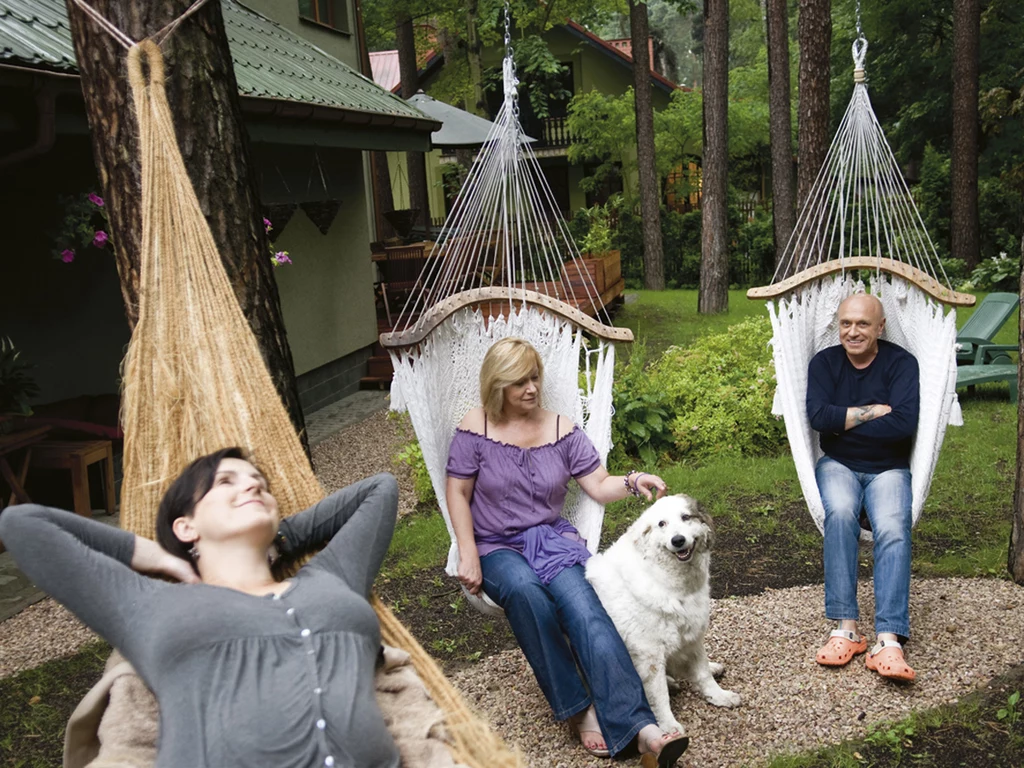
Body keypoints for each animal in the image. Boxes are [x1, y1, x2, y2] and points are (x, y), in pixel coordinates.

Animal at [585, 495, 745, 737]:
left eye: (686, 517)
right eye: (662, 524)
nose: (678, 540)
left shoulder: (693, 636)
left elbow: (703, 673)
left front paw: (719, 696)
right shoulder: (649, 655)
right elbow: (659, 695)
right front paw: (669, 727)